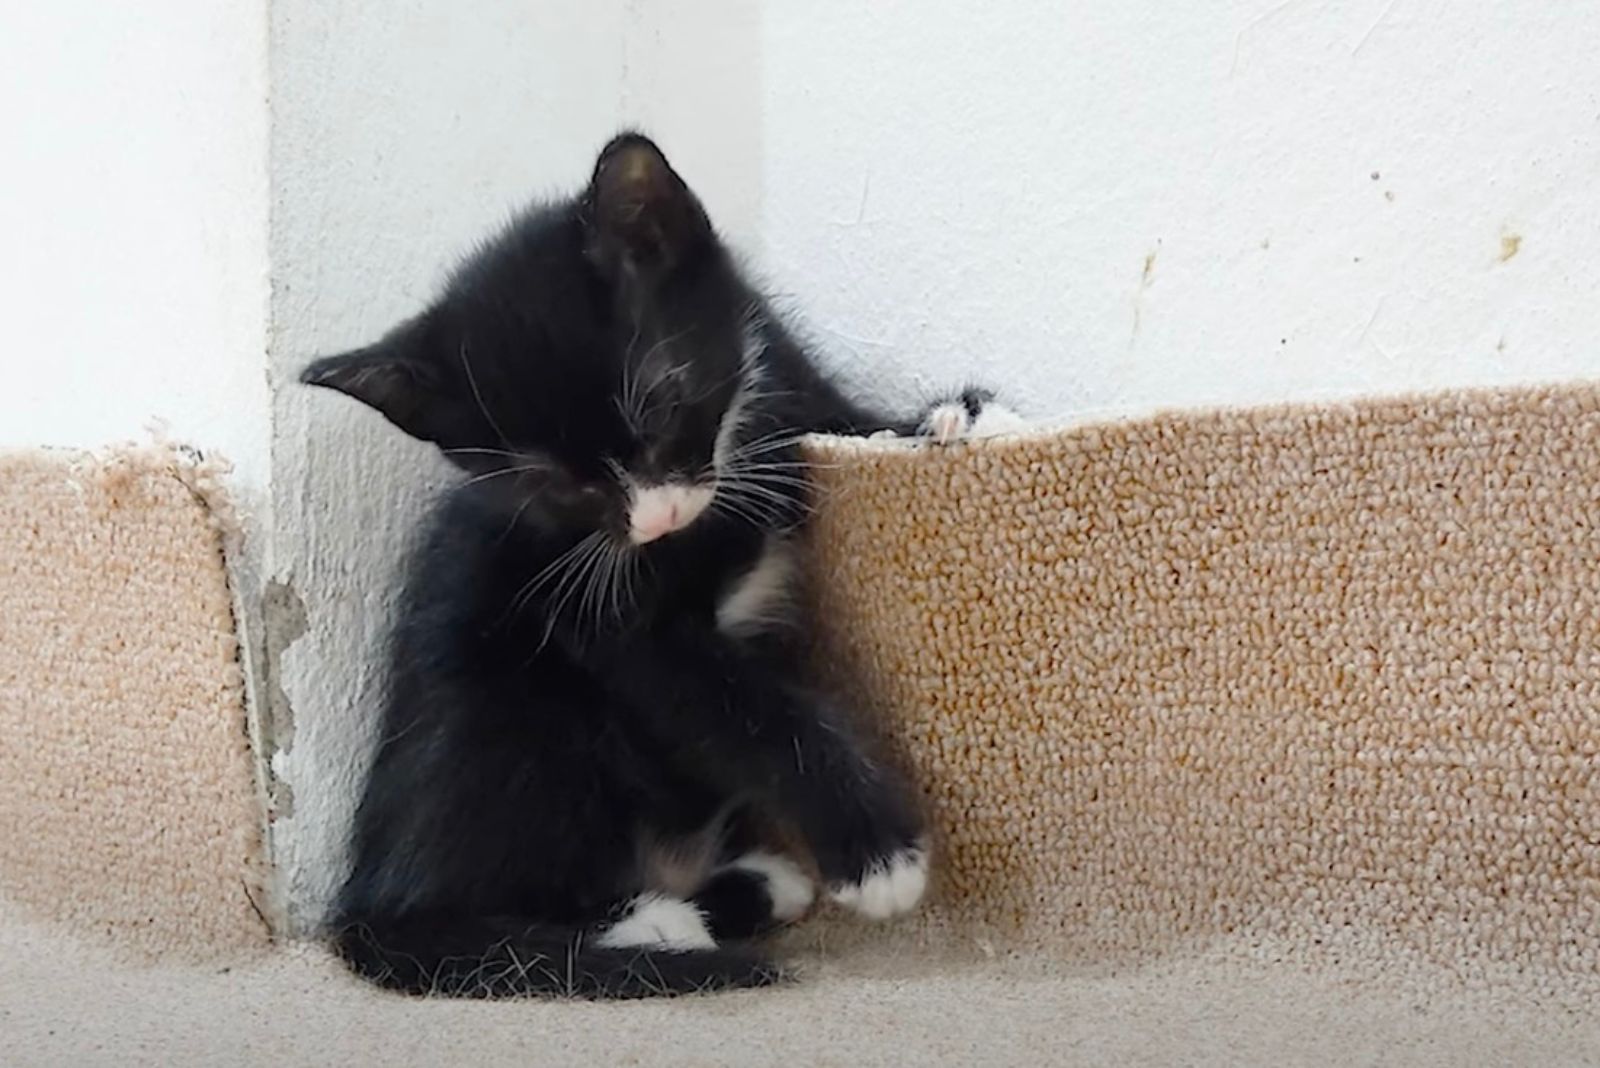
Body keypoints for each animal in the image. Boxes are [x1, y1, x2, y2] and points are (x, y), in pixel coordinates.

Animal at [302, 135, 1011, 1004]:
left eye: (664, 405)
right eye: (554, 483)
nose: (656, 519)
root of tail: (362, 900)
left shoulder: (784, 386)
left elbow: (849, 427)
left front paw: (953, 420)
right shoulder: (604, 617)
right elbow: (744, 708)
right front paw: (876, 850)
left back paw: (751, 886)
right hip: (508, 712)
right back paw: (651, 922)